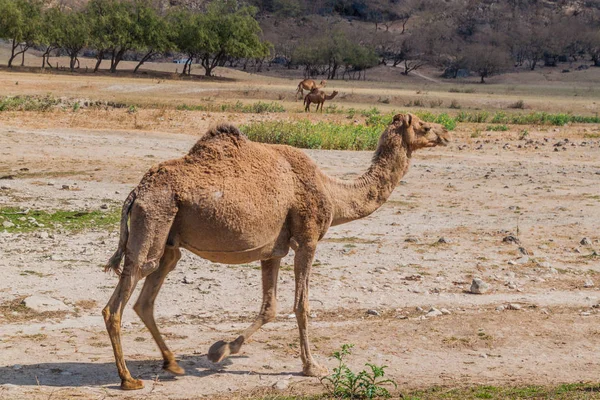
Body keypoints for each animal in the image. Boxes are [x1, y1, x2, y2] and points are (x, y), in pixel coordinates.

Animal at [102, 113, 450, 390]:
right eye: (425, 125)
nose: (446, 133)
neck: (332, 192)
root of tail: (136, 191)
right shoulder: (308, 239)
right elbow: (302, 306)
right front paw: (312, 367)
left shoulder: (273, 251)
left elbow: (270, 307)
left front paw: (221, 349)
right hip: (155, 217)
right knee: (118, 301)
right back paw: (128, 379)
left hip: (168, 240)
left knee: (146, 298)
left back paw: (172, 363)